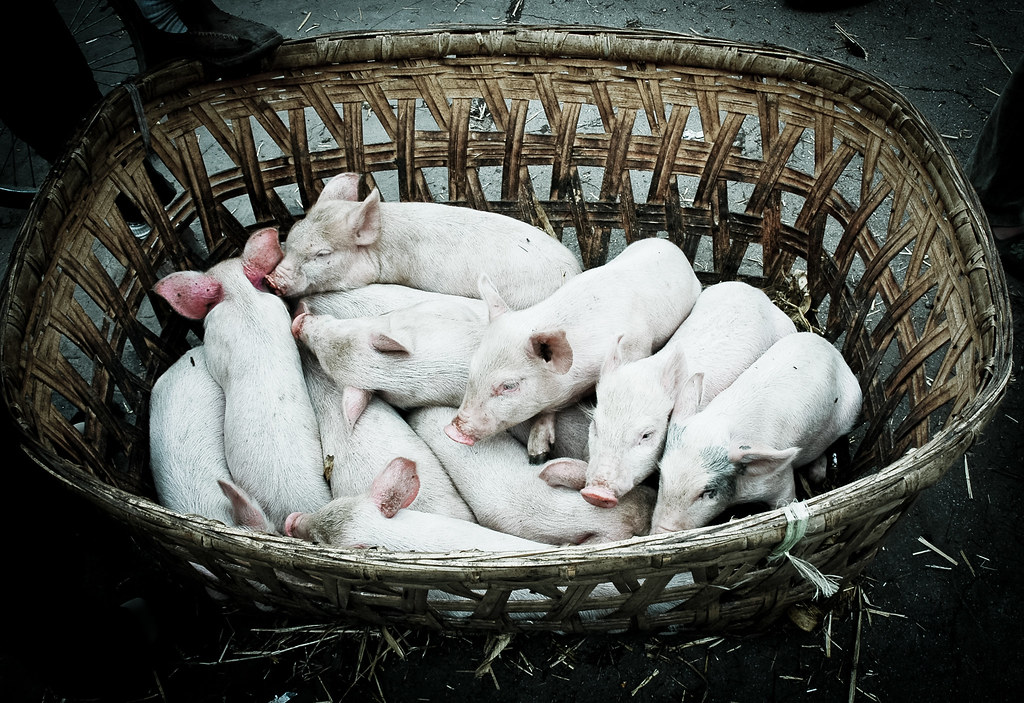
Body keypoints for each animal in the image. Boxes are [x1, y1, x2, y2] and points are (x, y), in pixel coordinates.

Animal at [445, 236, 702, 461]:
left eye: (509, 386)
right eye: (473, 367)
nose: (452, 429)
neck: (577, 383)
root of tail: (670, 245)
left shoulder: (637, 349)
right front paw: (537, 456)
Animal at [650, 331, 862, 533]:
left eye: (708, 491)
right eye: (661, 476)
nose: (658, 532)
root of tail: (832, 350)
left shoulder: (780, 479)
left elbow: (786, 500)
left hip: (851, 411)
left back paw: (816, 475)